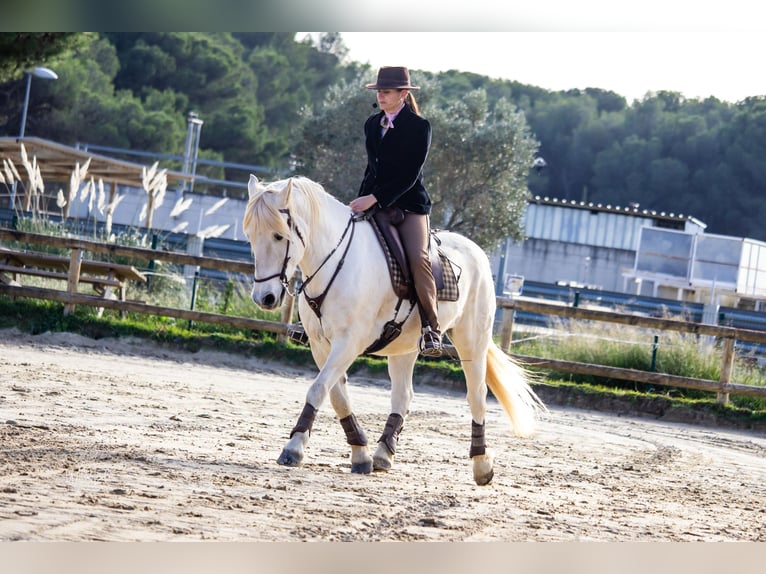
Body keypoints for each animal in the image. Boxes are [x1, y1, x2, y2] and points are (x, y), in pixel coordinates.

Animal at [242, 174, 546, 485]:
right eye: (251, 236)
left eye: (279, 236)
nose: (265, 298)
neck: (336, 260)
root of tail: (478, 253)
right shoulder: (320, 344)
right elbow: (337, 396)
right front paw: (360, 455)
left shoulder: (349, 342)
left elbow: (317, 389)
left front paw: (293, 448)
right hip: (405, 346)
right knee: (403, 395)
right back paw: (382, 453)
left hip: (472, 340)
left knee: (477, 396)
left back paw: (482, 464)